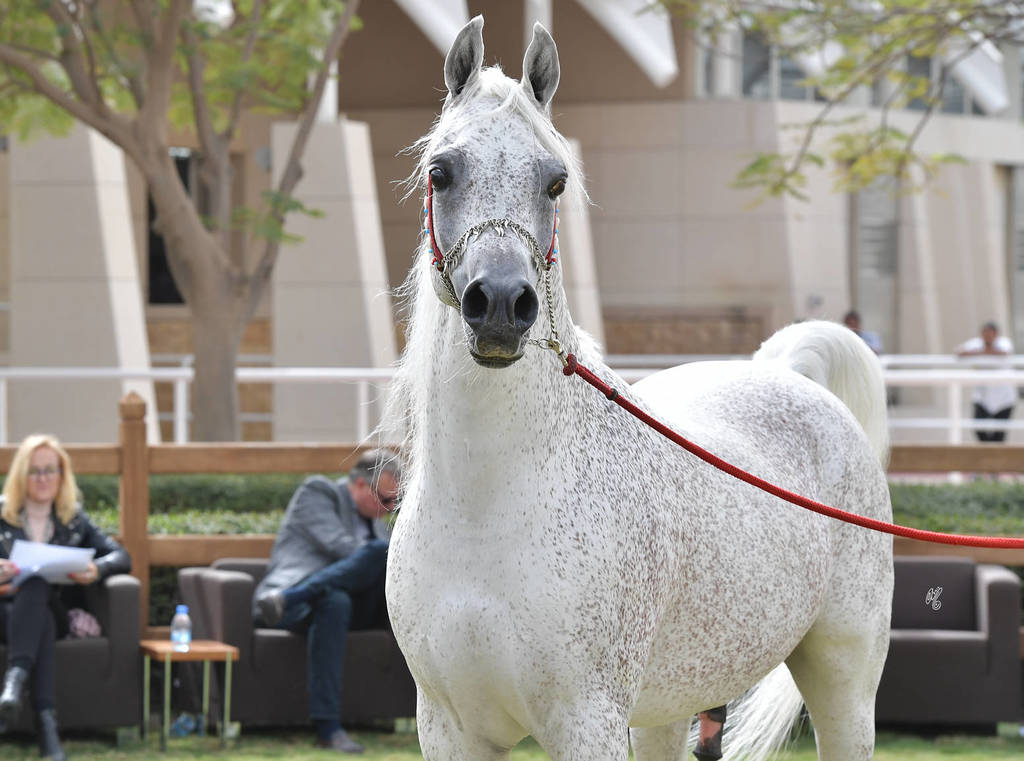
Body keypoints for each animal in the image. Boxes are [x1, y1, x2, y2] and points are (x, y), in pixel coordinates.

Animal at [384, 16, 893, 761]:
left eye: (557, 181)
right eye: (440, 172)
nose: (502, 304)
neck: (488, 507)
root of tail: (792, 378)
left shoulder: (588, 721)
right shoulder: (450, 727)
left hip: (844, 682)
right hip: (666, 709)